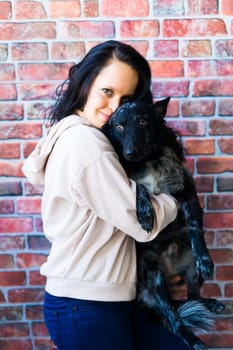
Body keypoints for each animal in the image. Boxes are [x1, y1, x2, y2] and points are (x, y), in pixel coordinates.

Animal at [103, 98, 225, 350]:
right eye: (119, 126)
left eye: (142, 122)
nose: (130, 153)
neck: (148, 161)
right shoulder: (130, 182)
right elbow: (139, 188)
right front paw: (145, 213)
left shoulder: (186, 190)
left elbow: (195, 227)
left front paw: (205, 257)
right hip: (156, 280)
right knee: (174, 317)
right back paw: (191, 338)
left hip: (191, 273)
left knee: (193, 296)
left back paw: (208, 303)